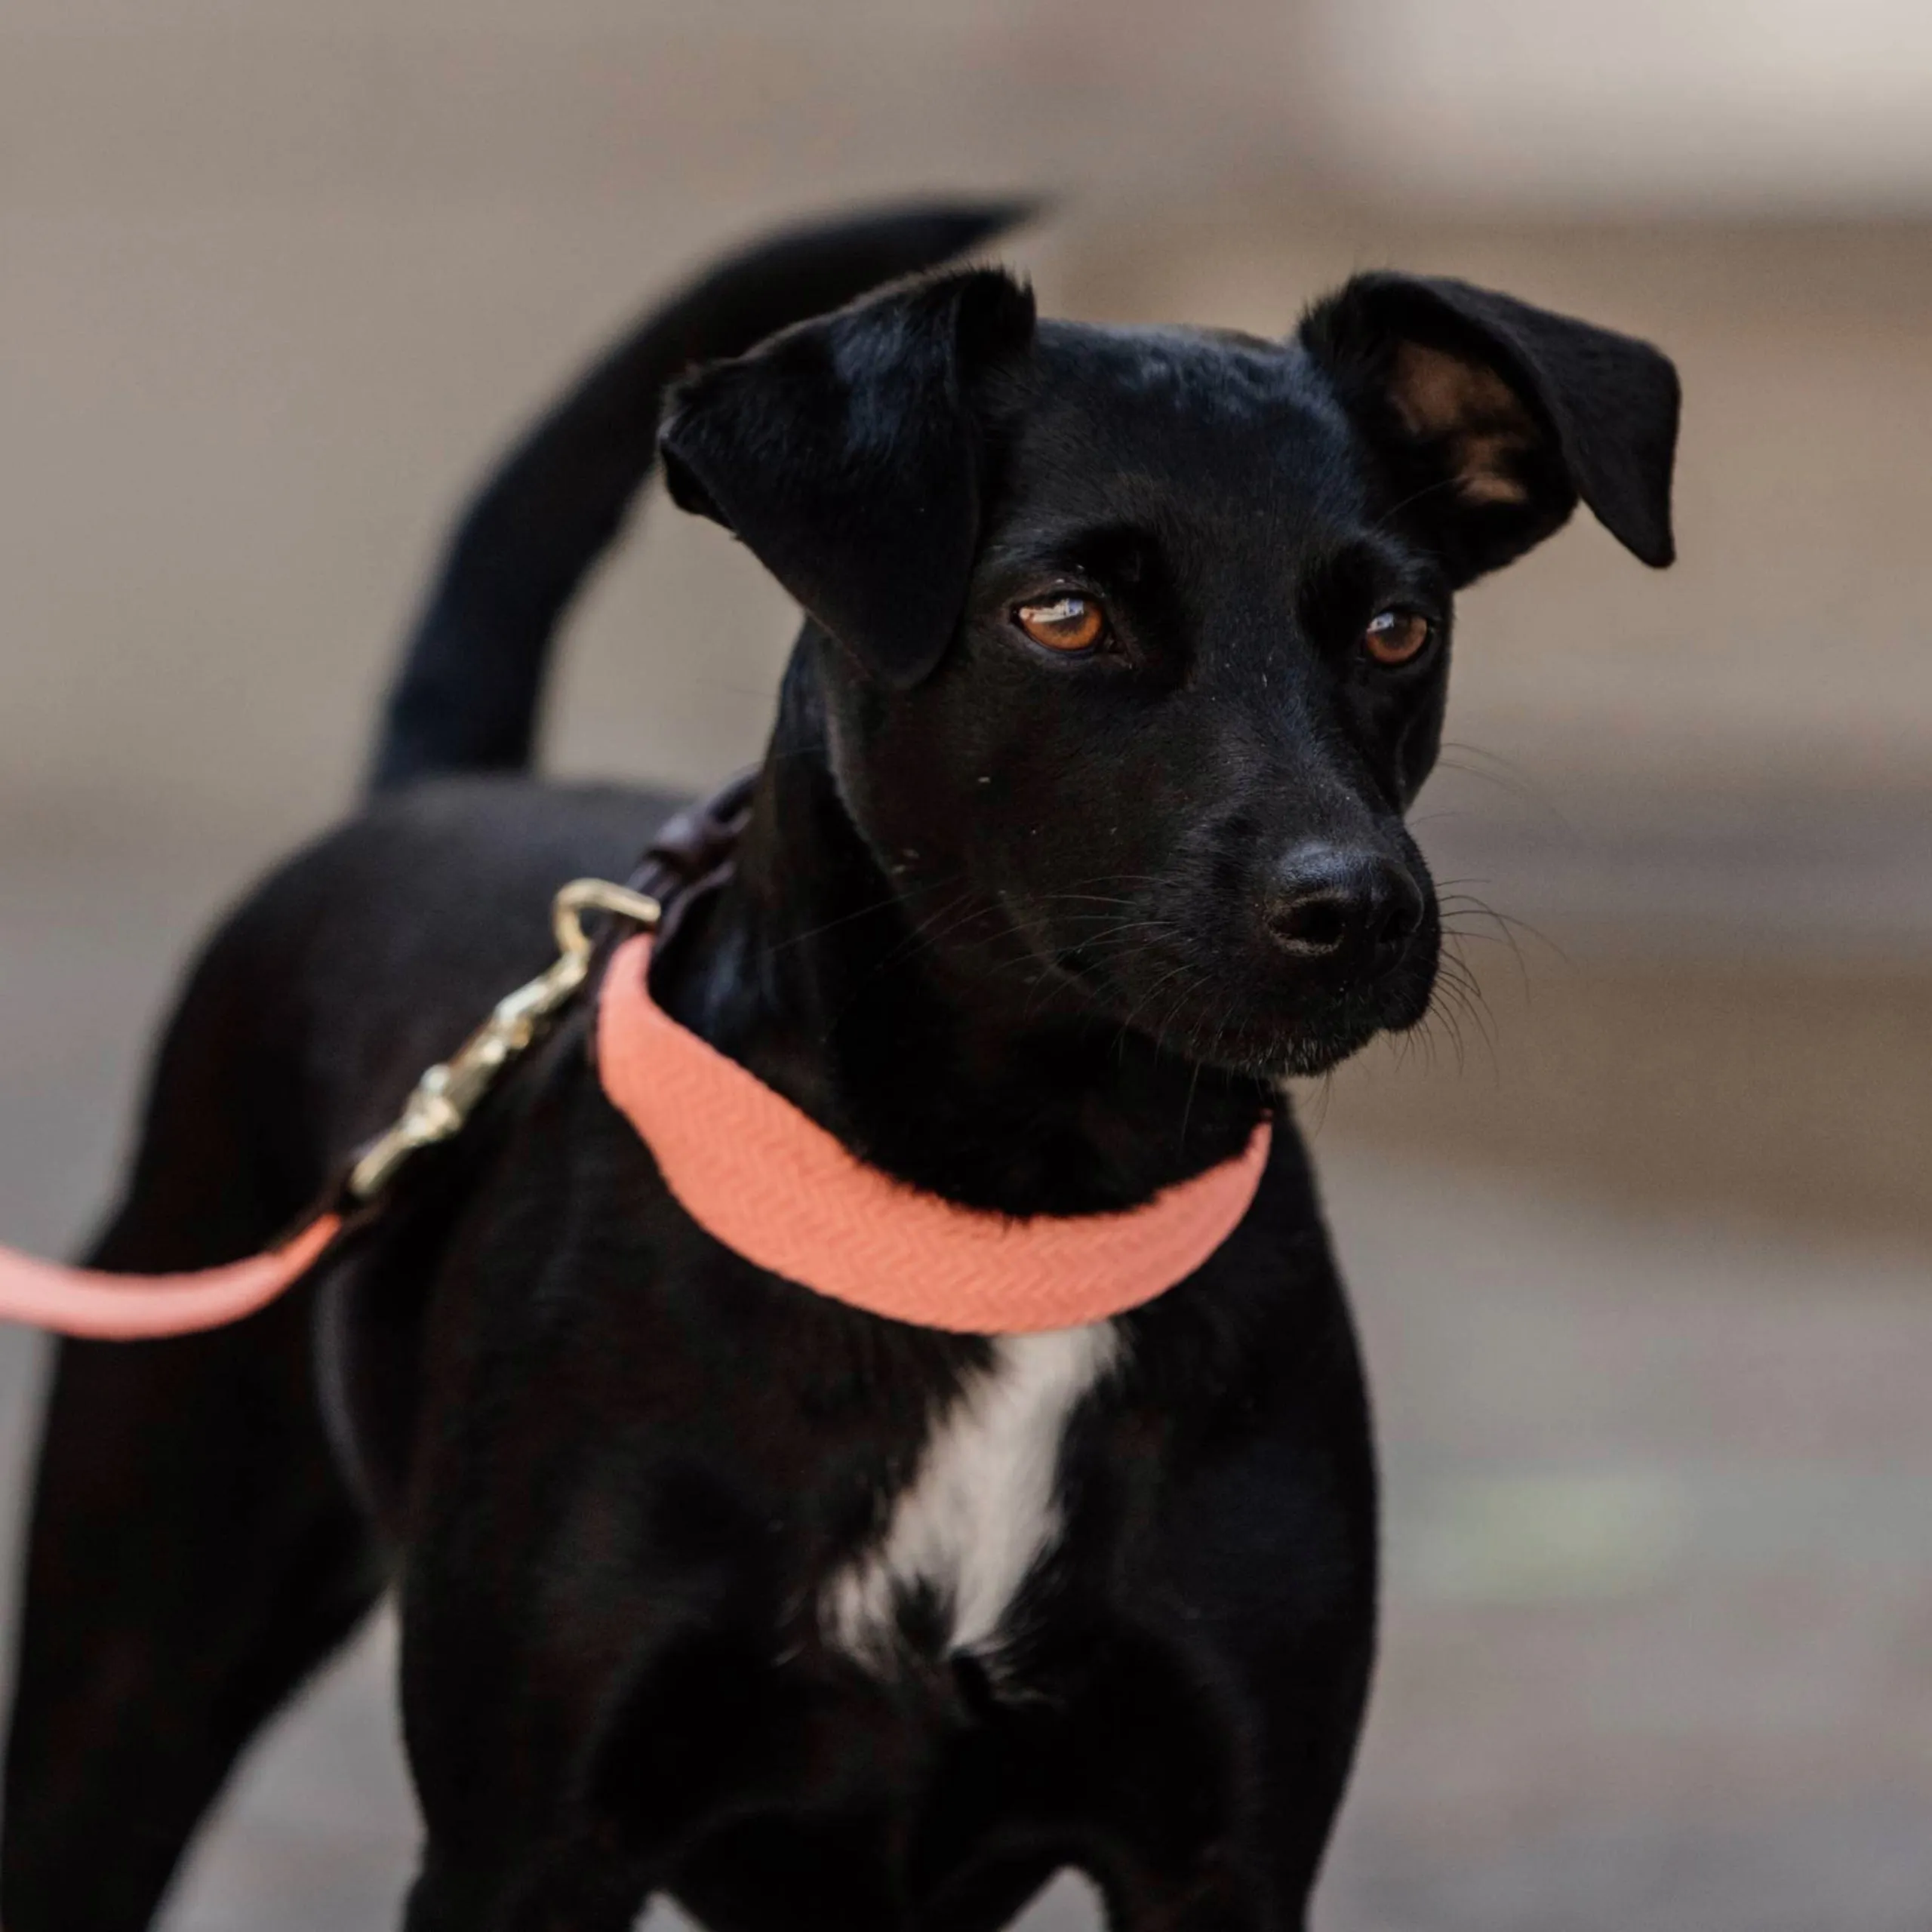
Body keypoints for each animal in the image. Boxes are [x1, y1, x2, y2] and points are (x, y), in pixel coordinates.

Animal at [0, 204, 1677, 1924]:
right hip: (126, 1677)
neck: (1012, 1220)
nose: (1356, 907)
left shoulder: (1224, 1849)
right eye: (1063, 613)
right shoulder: (522, 1846)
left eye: (1398, 627)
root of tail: (427, 796)